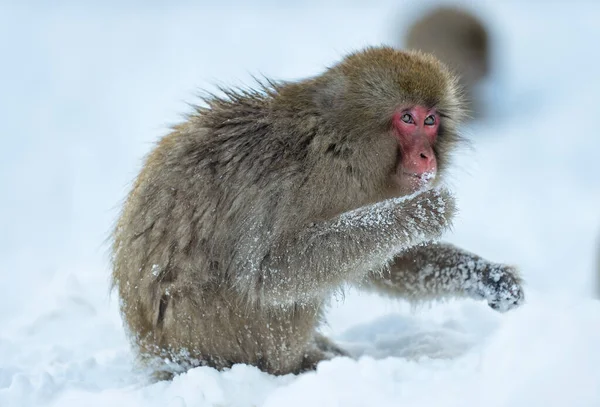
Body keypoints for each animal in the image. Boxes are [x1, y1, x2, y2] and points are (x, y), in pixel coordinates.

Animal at [110, 45, 524, 380]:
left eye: (431, 120)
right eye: (407, 118)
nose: (427, 157)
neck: (336, 144)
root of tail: (158, 357)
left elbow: (386, 260)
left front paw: (487, 276)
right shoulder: (287, 185)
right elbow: (269, 274)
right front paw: (418, 212)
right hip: (217, 333)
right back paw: (297, 365)